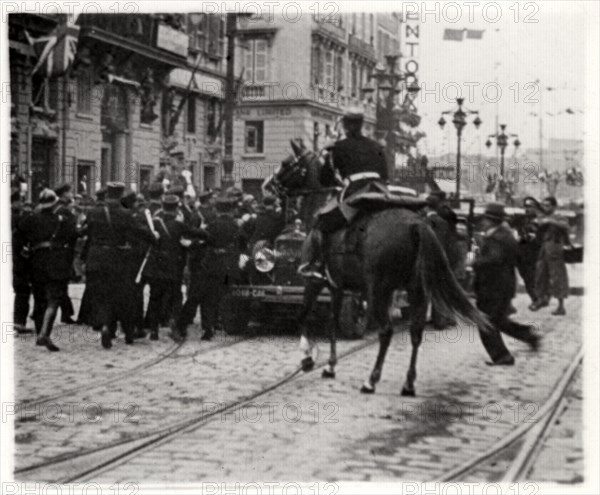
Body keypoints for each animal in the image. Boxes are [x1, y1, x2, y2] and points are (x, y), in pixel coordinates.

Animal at [272, 139, 492, 396]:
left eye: (287, 163)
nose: (269, 186)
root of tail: (417, 224)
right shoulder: (337, 286)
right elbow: (332, 321)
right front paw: (330, 365)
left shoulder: (315, 281)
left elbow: (304, 315)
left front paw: (308, 358)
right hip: (417, 290)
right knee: (415, 332)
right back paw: (408, 383)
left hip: (379, 290)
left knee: (386, 332)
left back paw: (371, 380)